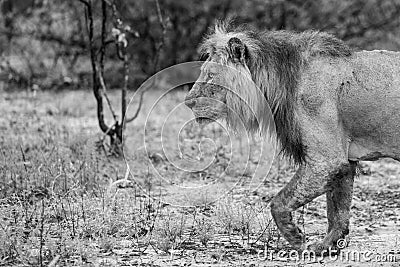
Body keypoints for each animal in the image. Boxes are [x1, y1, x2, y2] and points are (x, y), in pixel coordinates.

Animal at [185, 22, 400, 254]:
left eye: (211, 75)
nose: (187, 101)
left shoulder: (326, 160)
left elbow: (279, 202)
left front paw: (296, 237)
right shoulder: (345, 161)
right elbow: (337, 211)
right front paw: (326, 246)